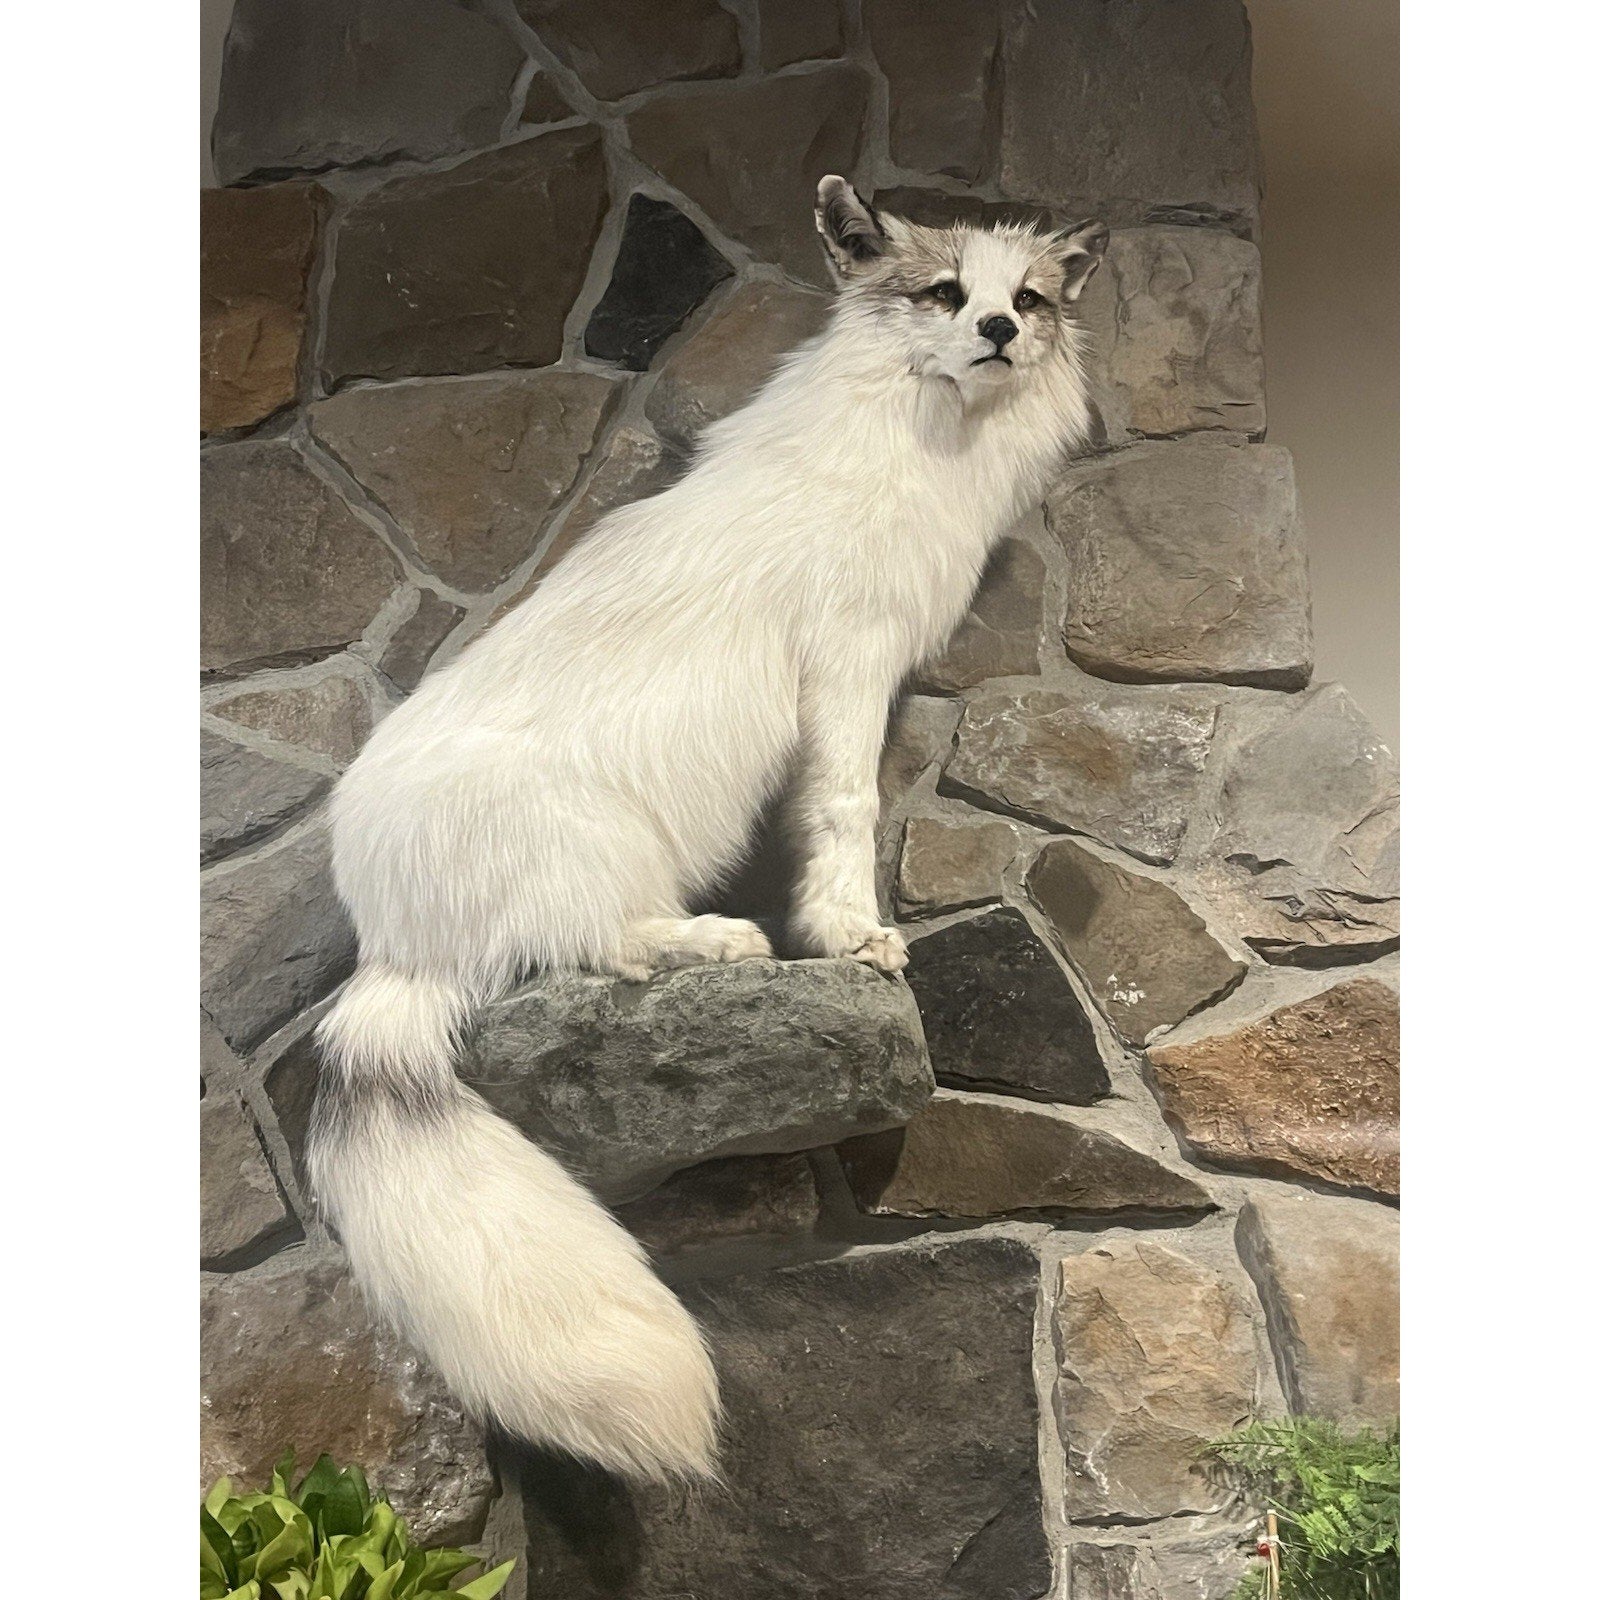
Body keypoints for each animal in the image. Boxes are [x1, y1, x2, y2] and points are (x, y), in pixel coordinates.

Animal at [309, 177, 1107, 1483]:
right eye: (945, 294)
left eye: (1027, 300)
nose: (997, 333)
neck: (917, 439)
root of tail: (393, 940)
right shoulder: (847, 665)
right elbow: (845, 806)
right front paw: (846, 934)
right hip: (598, 845)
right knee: (595, 949)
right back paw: (722, 942)